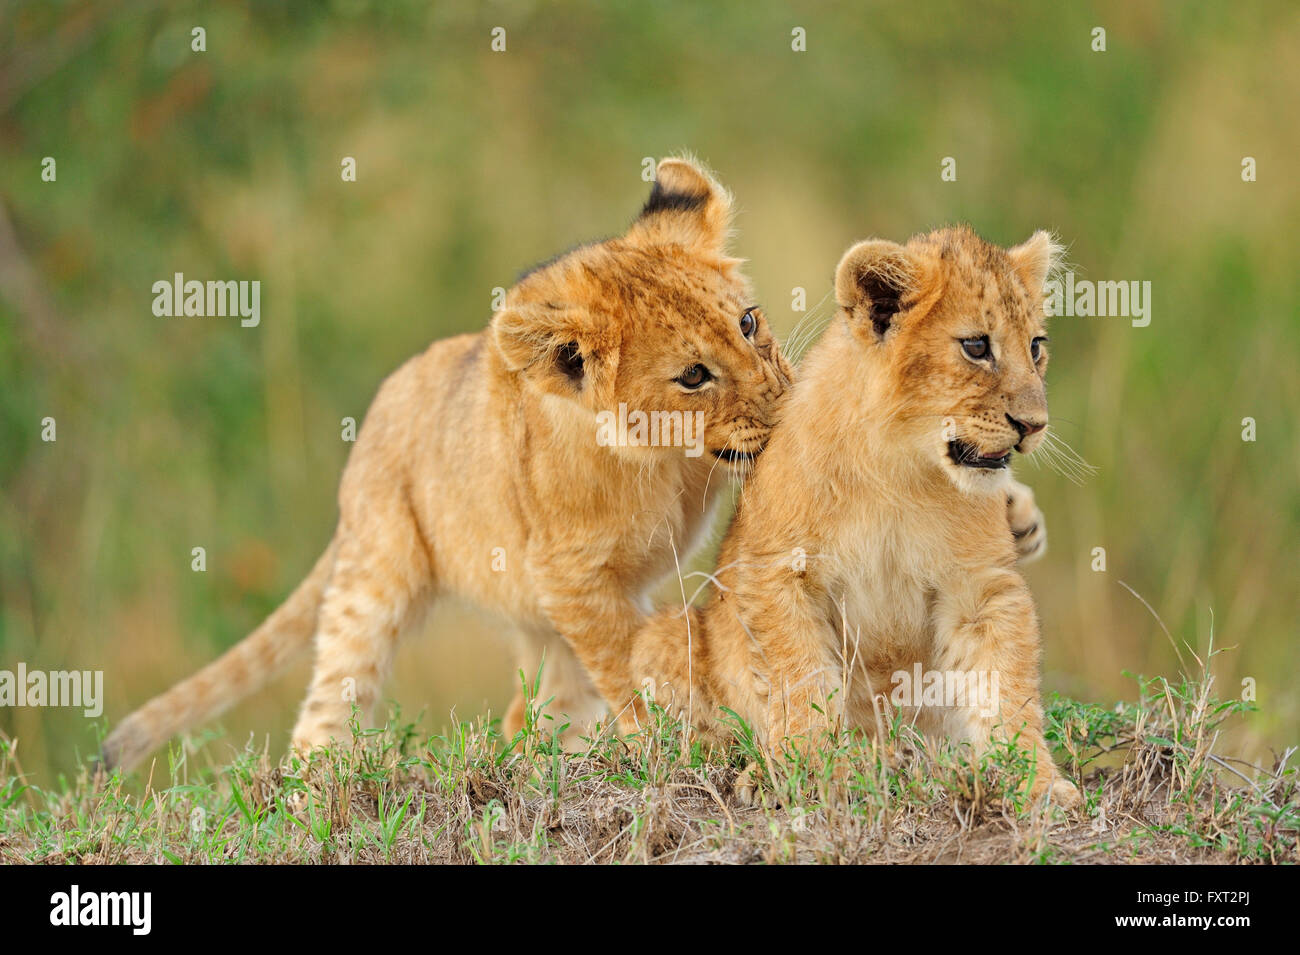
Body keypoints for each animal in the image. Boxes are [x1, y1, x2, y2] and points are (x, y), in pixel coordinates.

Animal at [101, 157, 794, 770]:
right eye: (693, 376)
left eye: (748, 322)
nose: (784, 401)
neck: (667, 462)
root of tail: (374, 420)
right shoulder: (573, 579)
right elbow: (629, 667)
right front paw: (689, 744)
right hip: (378, 573)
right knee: (327, 706)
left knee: (530, 712)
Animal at [629, 225, 1080, 807]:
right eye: (977, 347)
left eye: (1036, 347)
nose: (1034, 424)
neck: (899, 468)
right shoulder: (779, 572)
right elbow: (801, 678)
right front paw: (806, 770)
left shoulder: (980, 587)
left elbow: (1006, 687)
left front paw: (1038, 785)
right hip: (665, 636)